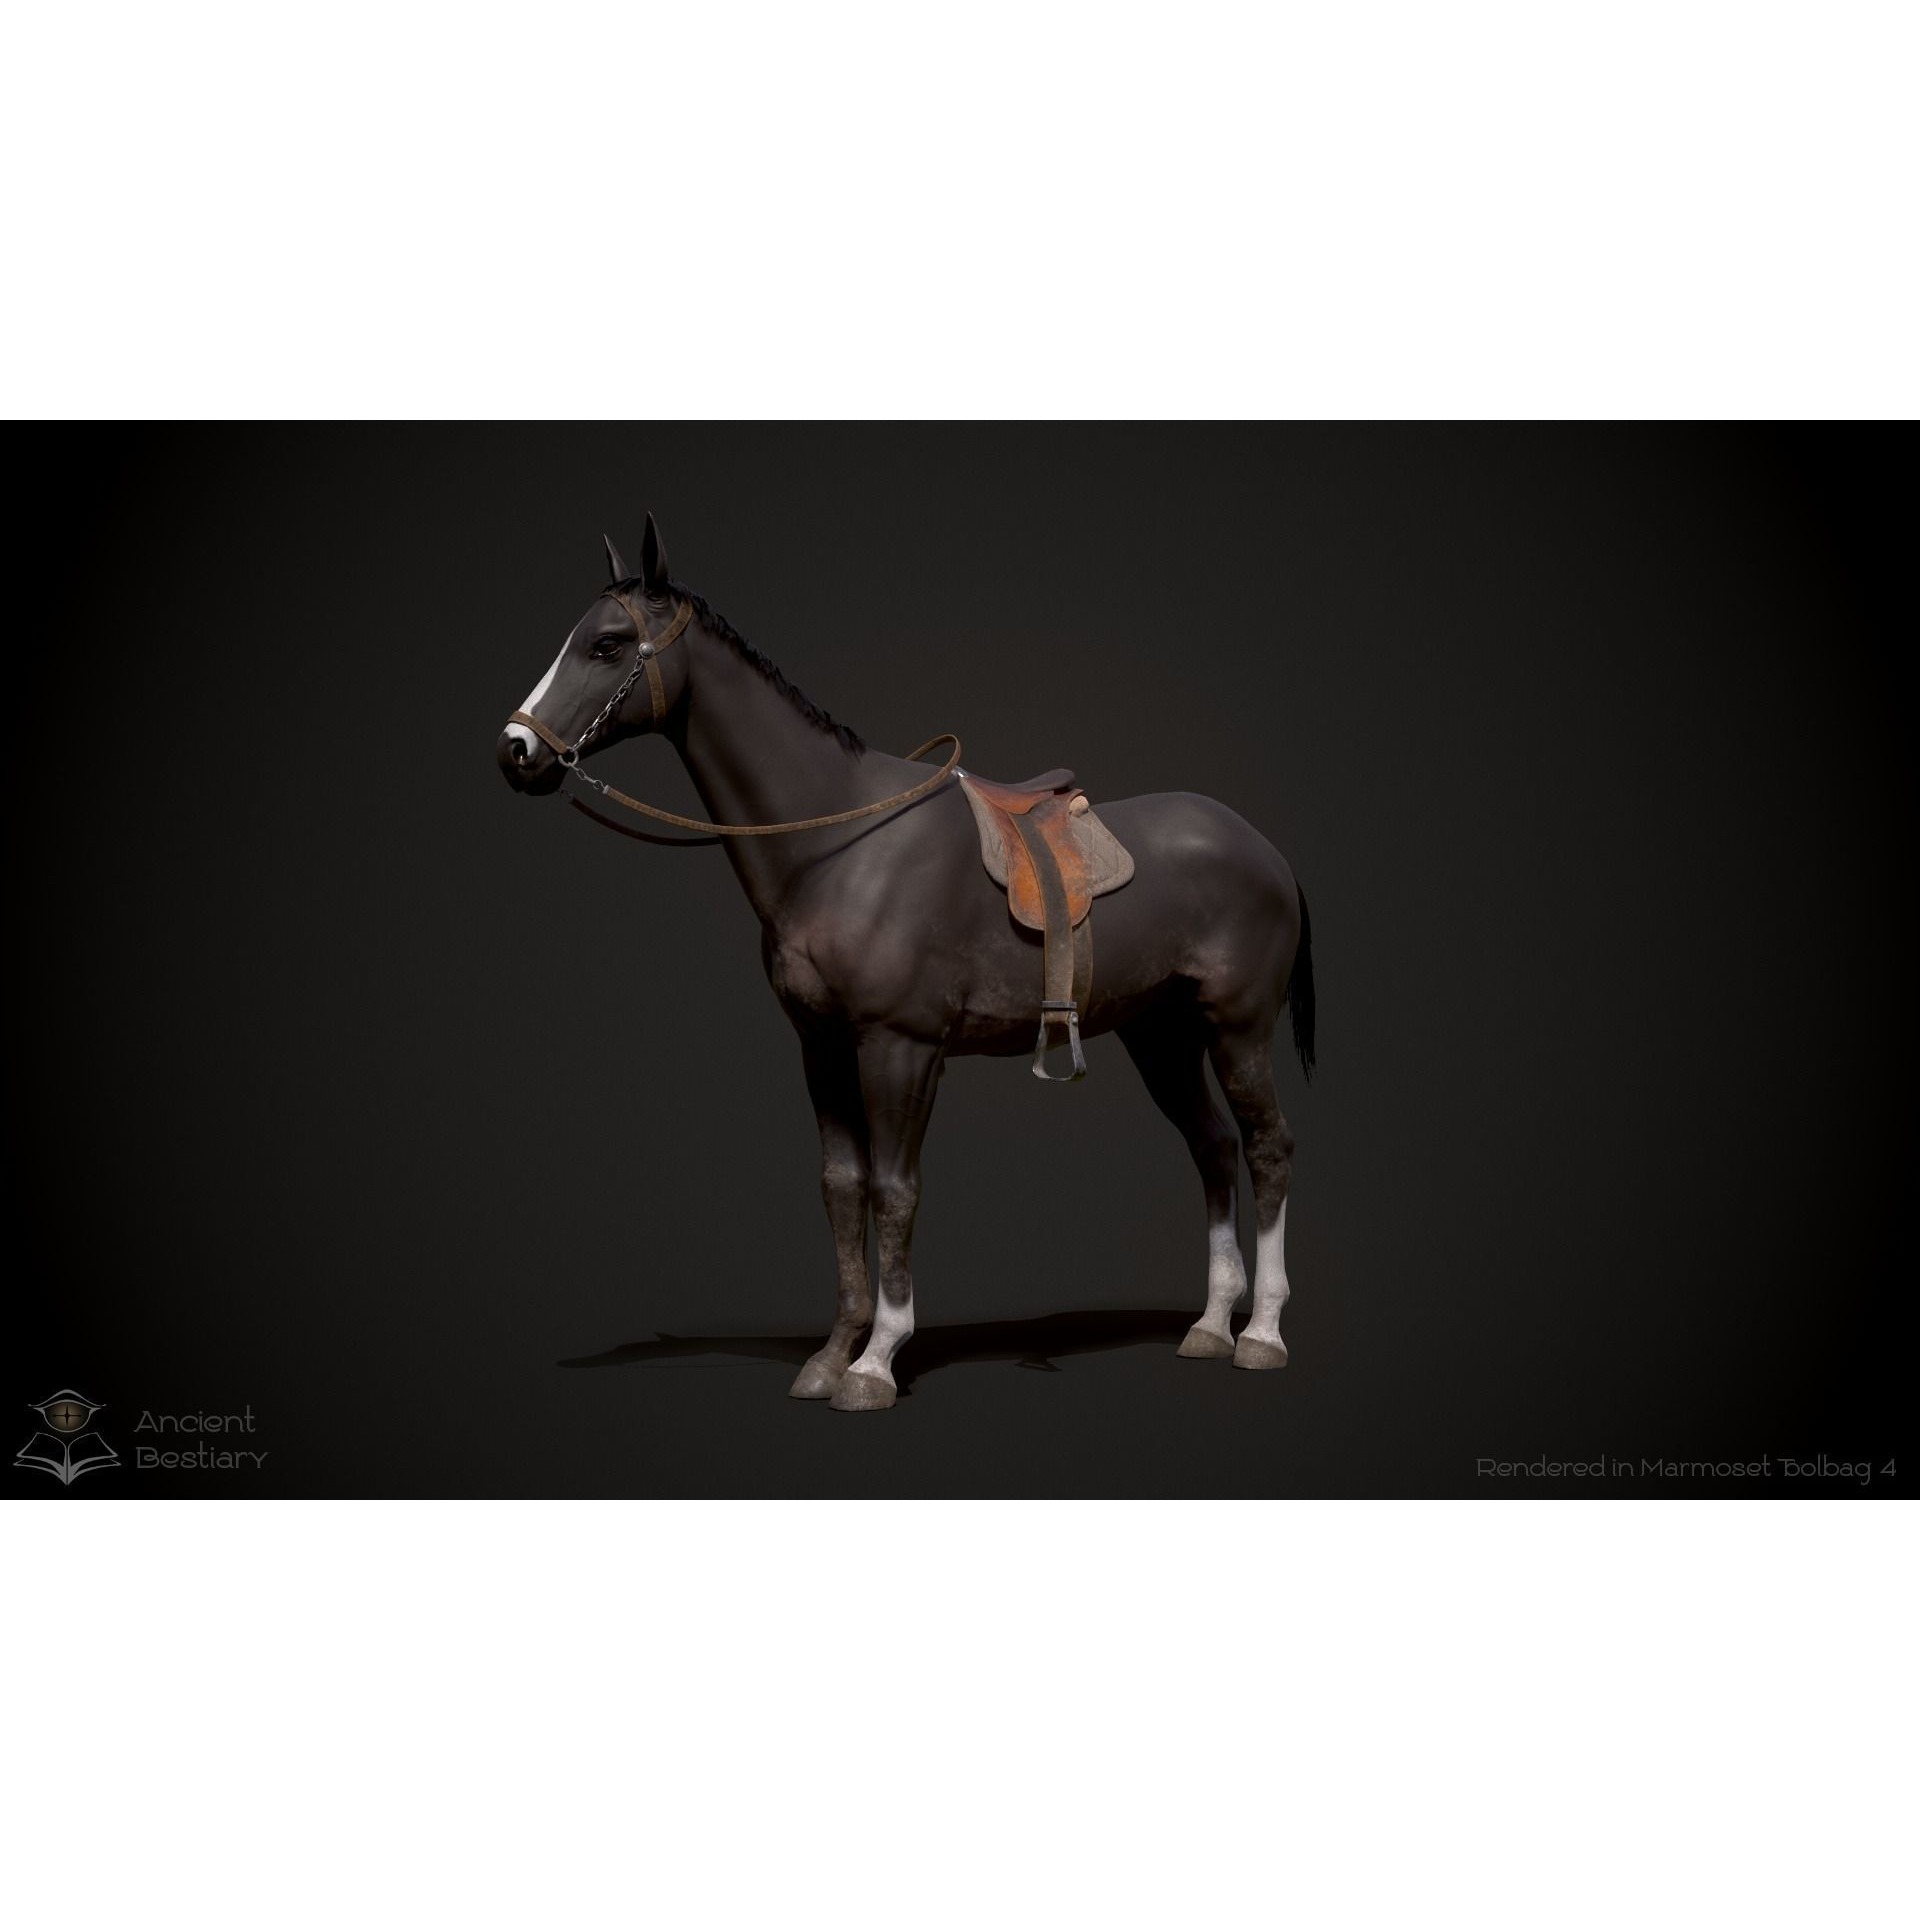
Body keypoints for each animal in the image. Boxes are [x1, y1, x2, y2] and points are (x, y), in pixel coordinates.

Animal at [496, 515, 1315, 1412]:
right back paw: (1208, 1326)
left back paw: (1262, 1334)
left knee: (1267, 1147)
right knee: (1213, 1145)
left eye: (608, 644)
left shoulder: (901, 1048)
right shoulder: (821, 1044)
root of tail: (1266, 849)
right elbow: (842, 1184)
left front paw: (876, 1361)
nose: (516, 753)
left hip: (1237, 1031)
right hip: (1160, 1036)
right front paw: (832, 1353)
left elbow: (894, 1190)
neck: (839, 843)